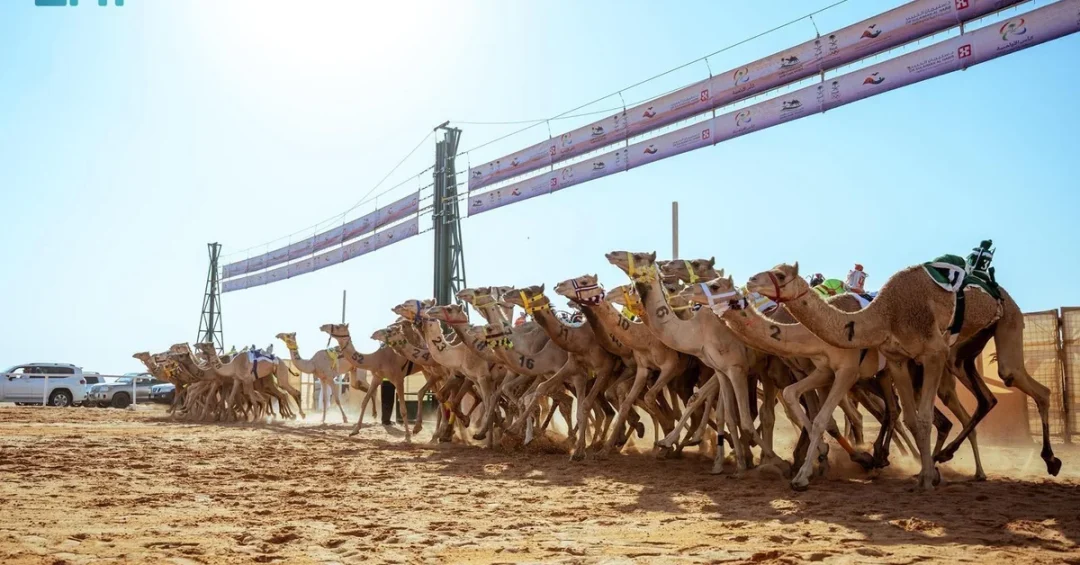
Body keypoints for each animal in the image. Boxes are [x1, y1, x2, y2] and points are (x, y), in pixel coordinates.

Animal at [746, 262, 1060, 488]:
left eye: (779, 274)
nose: (751, 280)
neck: (882, 315)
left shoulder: (929, 354)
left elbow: (916, 418)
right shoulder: (894, 362)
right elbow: (907, 418)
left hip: (1004, 325)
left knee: (1020, 382)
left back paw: (1046, 460)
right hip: (960, 355)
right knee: (982, 399)